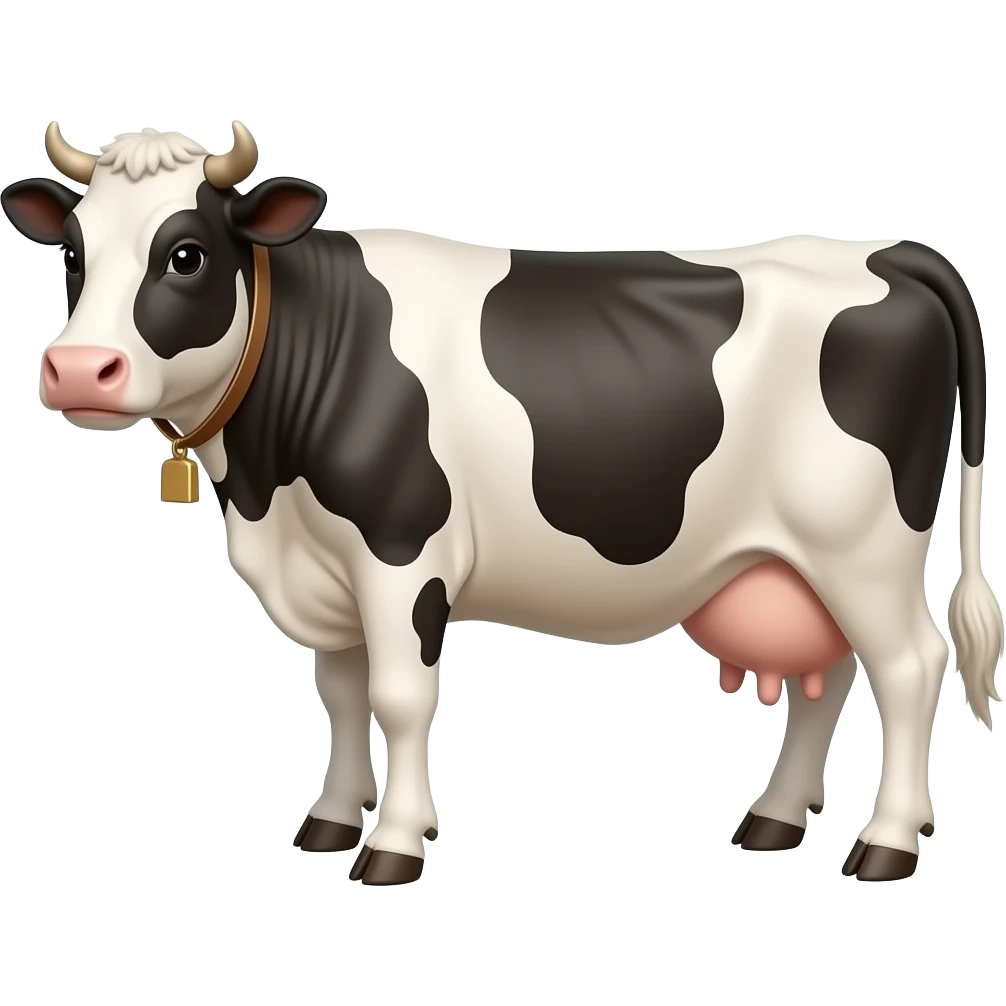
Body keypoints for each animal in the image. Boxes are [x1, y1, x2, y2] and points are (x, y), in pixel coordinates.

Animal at [6, 121, 1002, 885]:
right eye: (73, 255)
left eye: (185, 254)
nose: (78, 371)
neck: (265, 489)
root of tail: (885, 248)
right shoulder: (325, 571)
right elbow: (341, 694)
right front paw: (329, 821)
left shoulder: (400, 552)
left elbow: (400, 696)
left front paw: (393, 846)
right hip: (796, 558)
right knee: (826, 677)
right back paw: (775, 820)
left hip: (863, 546)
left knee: (910, 667)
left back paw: (885, 845)